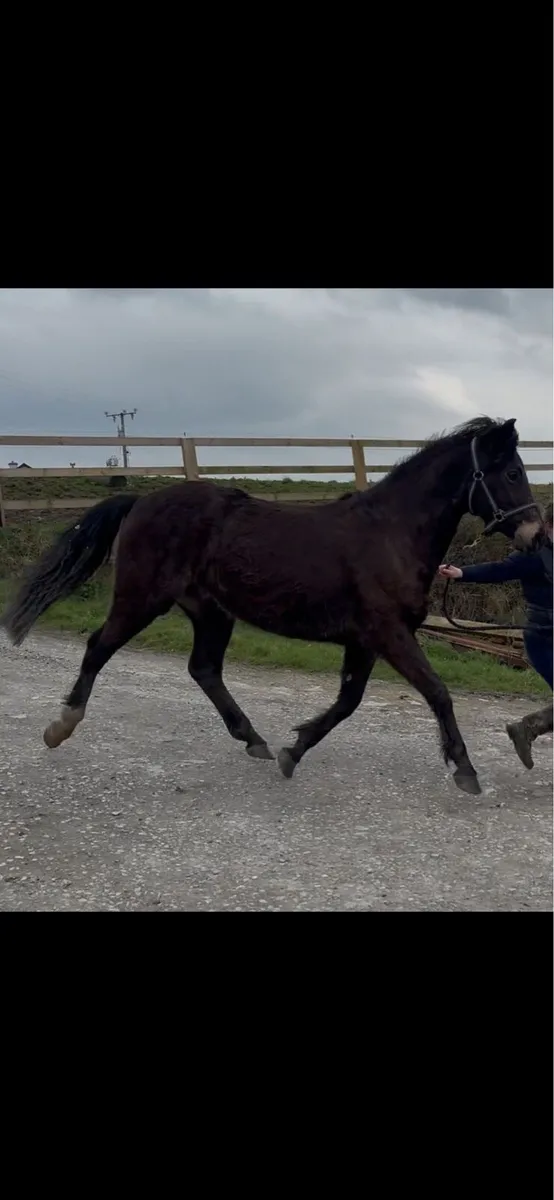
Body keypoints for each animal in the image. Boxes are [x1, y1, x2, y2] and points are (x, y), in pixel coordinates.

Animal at [1, 416, 544, 796]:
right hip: (142, 598)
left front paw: (292, 750)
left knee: (204, 670)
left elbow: (348, 701)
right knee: (99, 646)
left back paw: (254, 740)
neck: (390, 534)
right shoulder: (388, 633)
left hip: (210, 612)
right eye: (512, 471)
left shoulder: (364, 640)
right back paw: (61, 726)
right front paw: (465, 770)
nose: (535, 535)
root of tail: (142, 501)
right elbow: (437, 692)